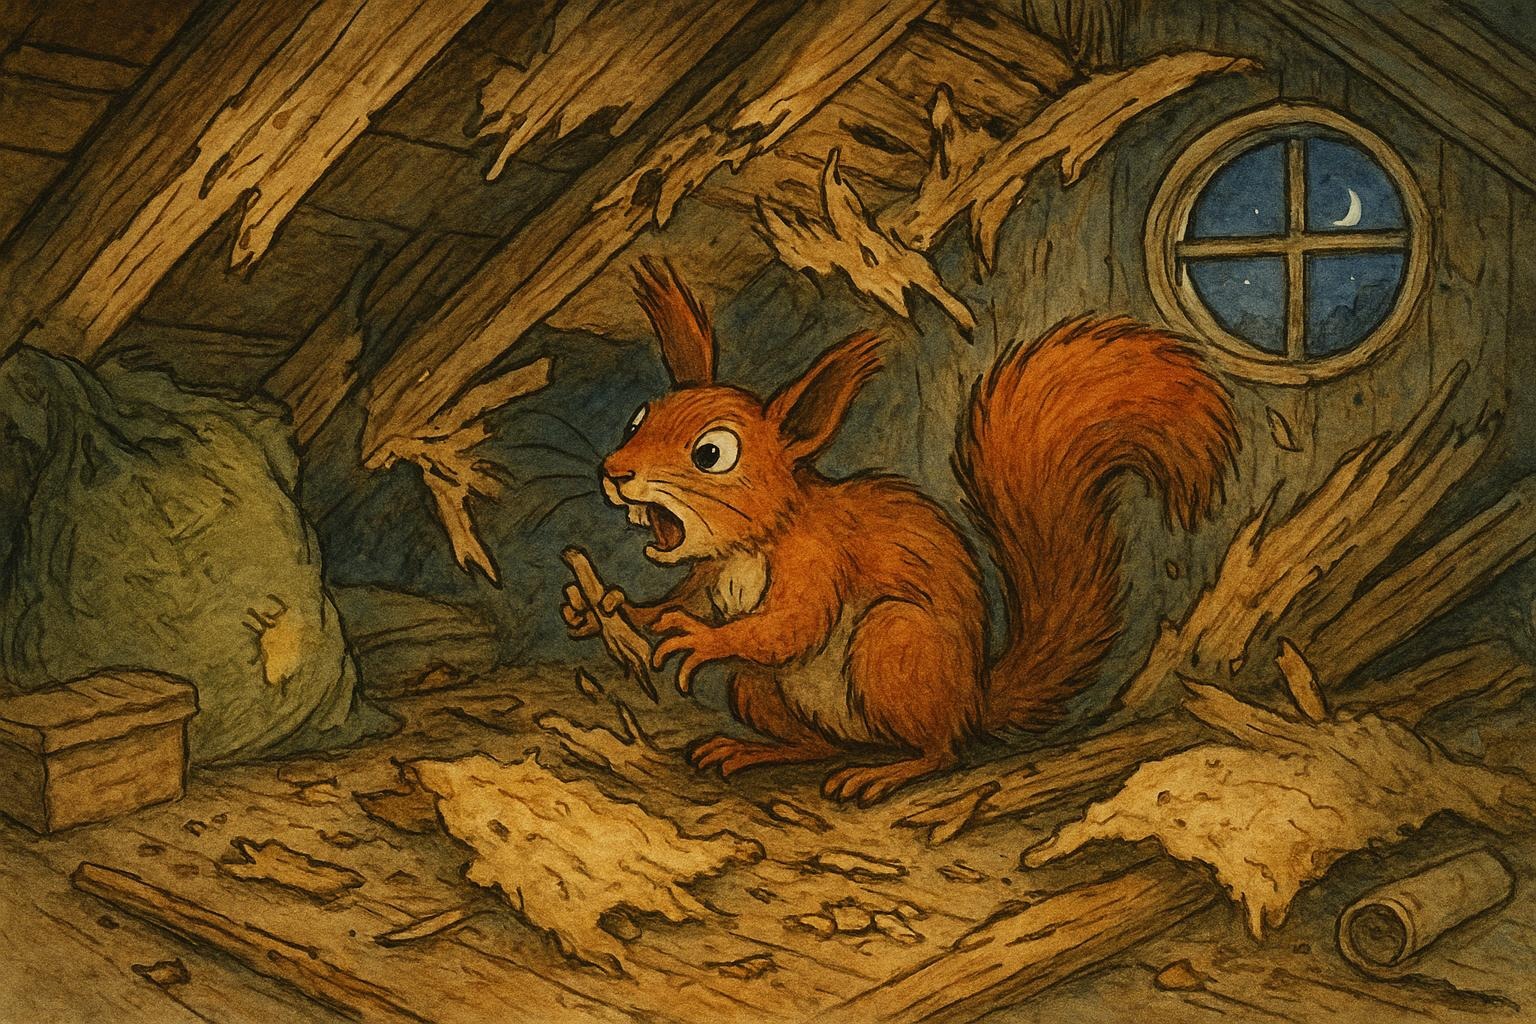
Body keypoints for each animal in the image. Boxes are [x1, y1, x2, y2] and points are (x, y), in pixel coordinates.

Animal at [563, 257, 1240, 805]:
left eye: (712, 453)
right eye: (638, 418)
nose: (615, 474)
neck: (751, 545)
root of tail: (972, 699)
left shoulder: (819, 559)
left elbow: (789, 625)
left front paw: (698, 639)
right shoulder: (709, 578)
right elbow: (682, 601)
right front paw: (608, 608)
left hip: (894, 646)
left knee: (939, 751)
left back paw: (884, 773)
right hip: (759, 689)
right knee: (817, 746)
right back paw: (752, 751)